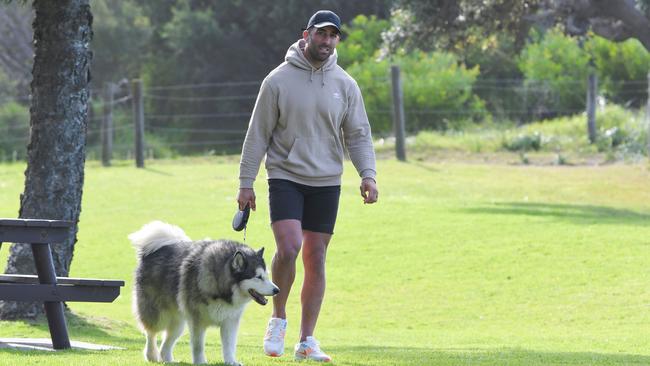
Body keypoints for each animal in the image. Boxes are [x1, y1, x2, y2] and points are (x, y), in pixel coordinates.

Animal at [128, 222, 278, 364]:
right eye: (258, 277)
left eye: (267, 275)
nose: (277, 290)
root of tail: (152, 252)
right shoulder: (197, 321)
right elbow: (198, 345)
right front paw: (200, 362)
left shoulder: (229, 321)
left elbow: (229, 345)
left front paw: (231, 361)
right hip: (158, 315)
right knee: (151, 333)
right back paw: (151, 355)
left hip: (178, 322)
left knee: (166, 342)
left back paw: (168, 360)